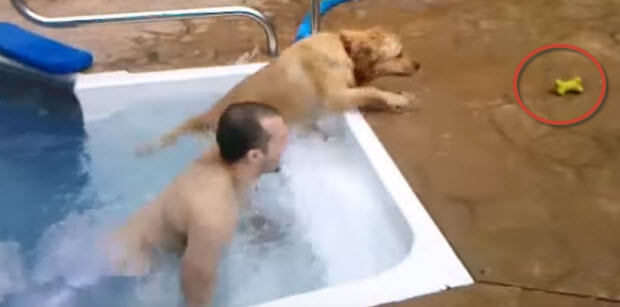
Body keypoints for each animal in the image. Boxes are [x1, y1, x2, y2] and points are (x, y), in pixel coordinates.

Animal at [137, 27, 418, 156]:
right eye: (399, 54)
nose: (418, 65)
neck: (345, 48)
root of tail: (206, 116)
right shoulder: (334, 96)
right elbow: (372, 89)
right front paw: (398, 99)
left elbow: (368, 88)